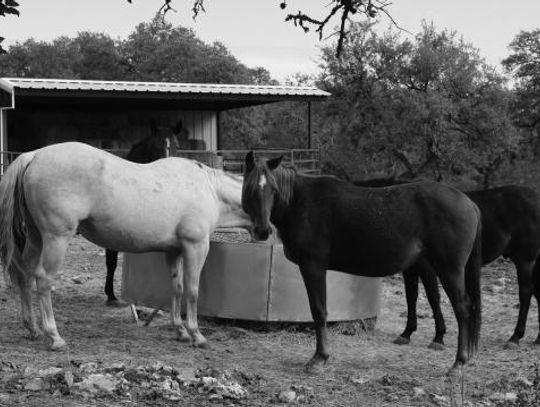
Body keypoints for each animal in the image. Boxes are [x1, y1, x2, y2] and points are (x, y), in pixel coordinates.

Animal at [0, 142, 251, 350]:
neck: (209, 188)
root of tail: (34, 155)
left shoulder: (174, 251)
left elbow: (177, 288)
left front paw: (180, 330)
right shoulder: (195, 248)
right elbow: (192, 291)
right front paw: (196, 334)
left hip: (36, 239)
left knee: (25, 276)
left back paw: (33, 329)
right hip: (55, 239)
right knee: (43, 280)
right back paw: (54, 336)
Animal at [240, 154, 480, 376]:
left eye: (273, 189)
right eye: (250, 187)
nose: (262, 231)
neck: (301, 203)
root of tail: (469, 203)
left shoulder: (313, 266)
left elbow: (319, 311)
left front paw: (319, 358)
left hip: (449, 269)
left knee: (462, 308)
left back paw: (458, 363)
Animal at [354, 179, 540, 350]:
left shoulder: (426, 267)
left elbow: (432, 296)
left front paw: (438, 336)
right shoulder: (411, 269)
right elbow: (411, 296)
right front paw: (407, 333)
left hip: (525, 260)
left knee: (525, 293)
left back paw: (515, 337)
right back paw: (536, 339)